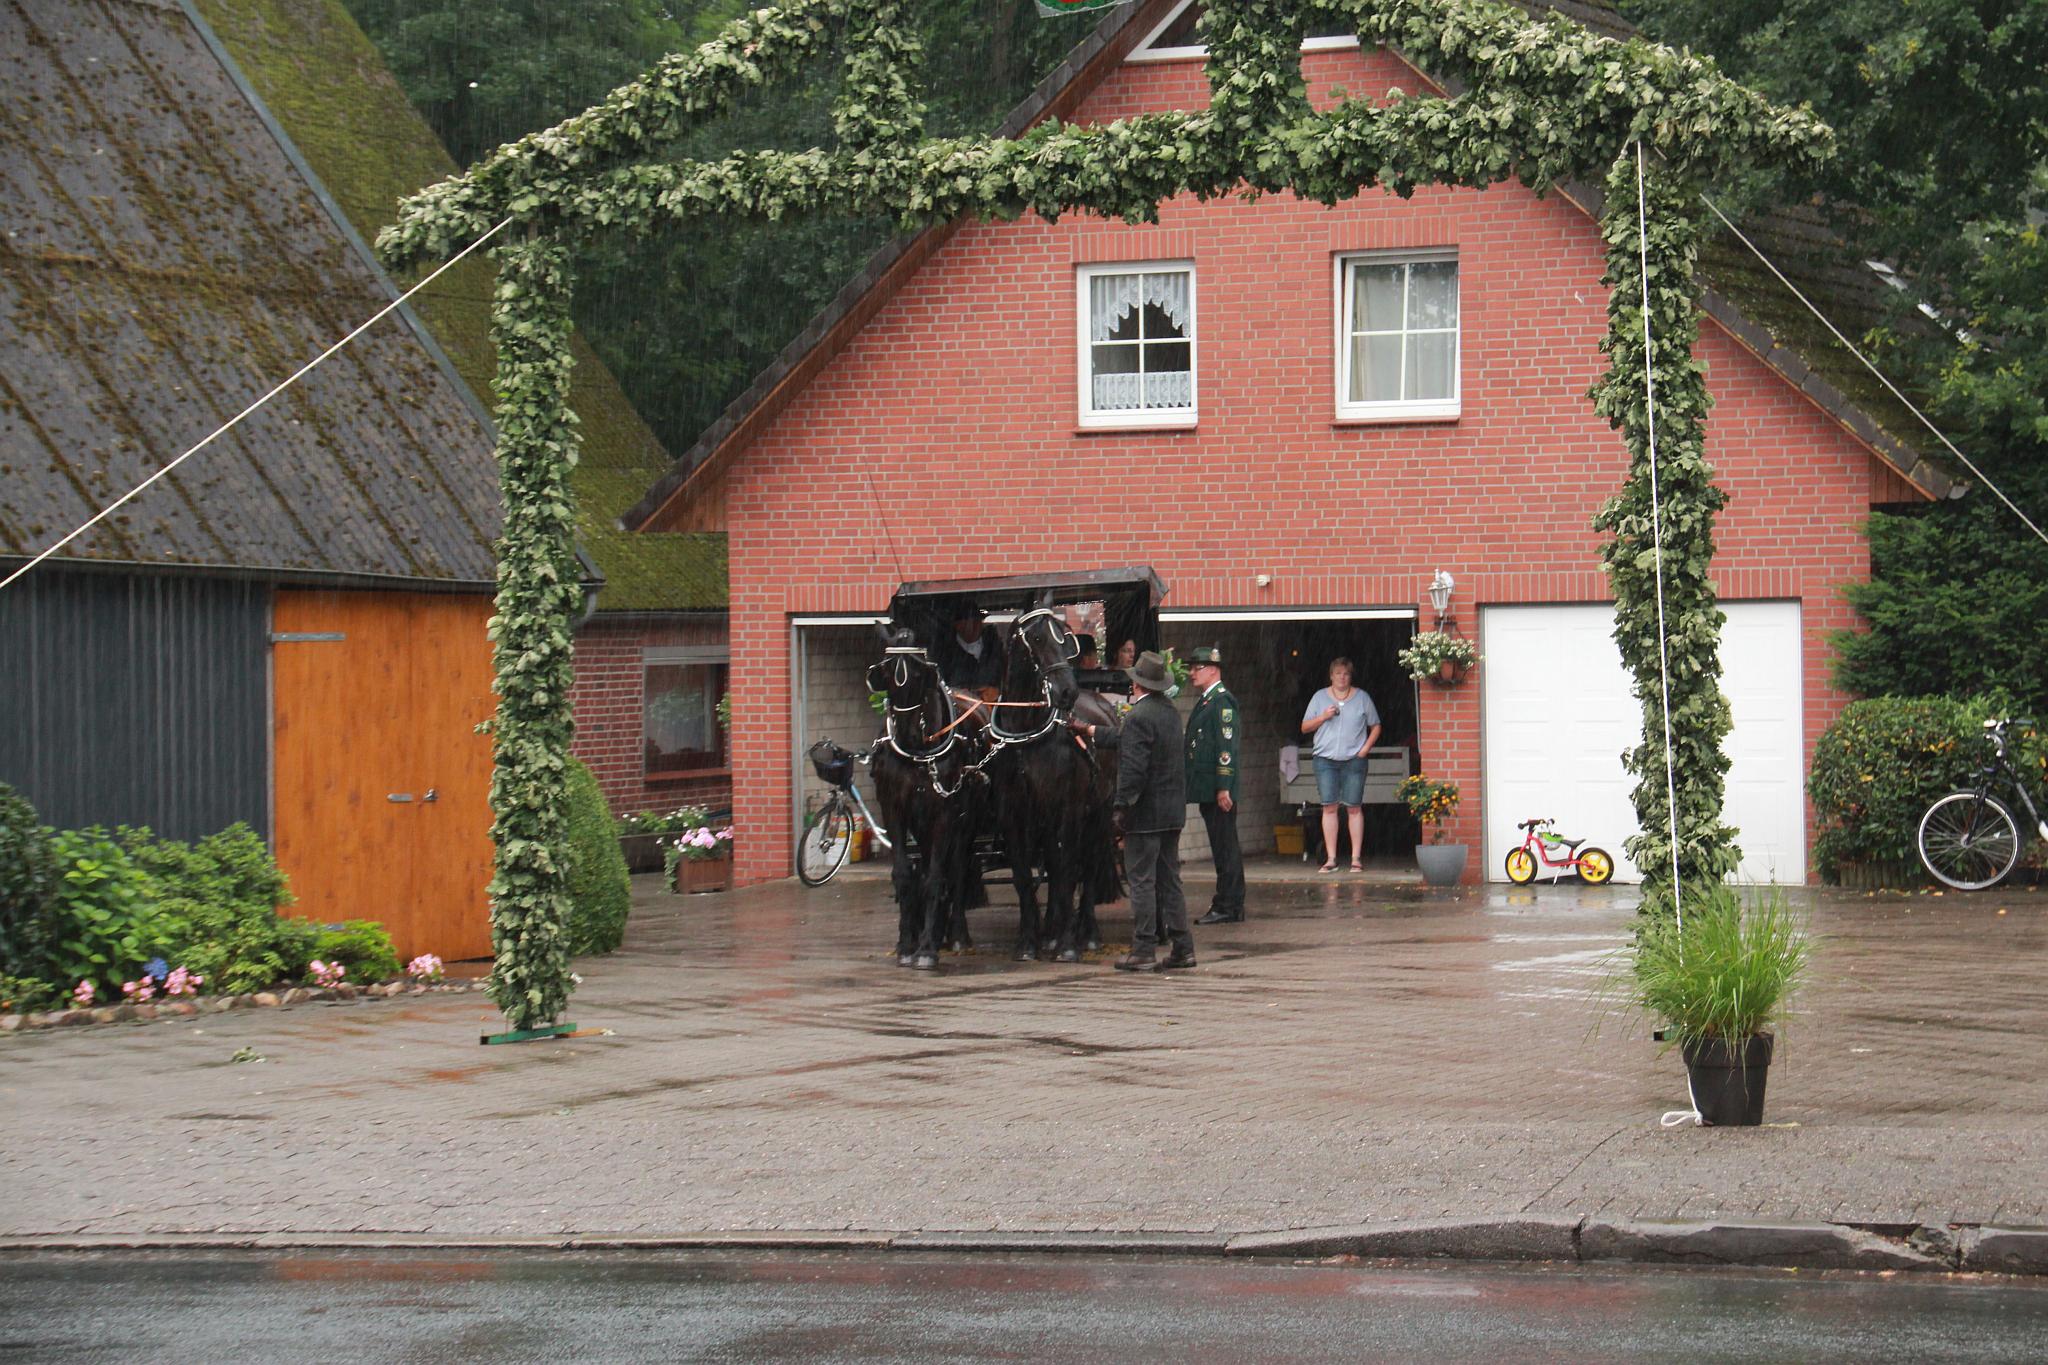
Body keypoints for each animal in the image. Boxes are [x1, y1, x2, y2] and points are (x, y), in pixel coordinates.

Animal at [866, 628, 988, 970]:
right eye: (886, 673)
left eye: (920, 675)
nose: (907, 732)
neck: (917, 754)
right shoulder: (894, 808)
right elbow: (904, 875)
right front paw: (907, 944)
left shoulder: (944, 812)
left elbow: (935, 877)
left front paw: (926, 950)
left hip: (965, 819)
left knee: (957, 868)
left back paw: (956, 935)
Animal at [985, 601, 1119, 962]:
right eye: (1036, 637)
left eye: (1064, 637)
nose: (1067, 691)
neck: (1025, 738)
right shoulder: (1013, 816)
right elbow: (1022, 876)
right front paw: (1028, 942)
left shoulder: (1068, 810)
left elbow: (1068, 872)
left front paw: (1068, 944)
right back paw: (1050, 930)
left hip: (1100, 811)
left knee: (1088, 864)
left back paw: (1086, 933)